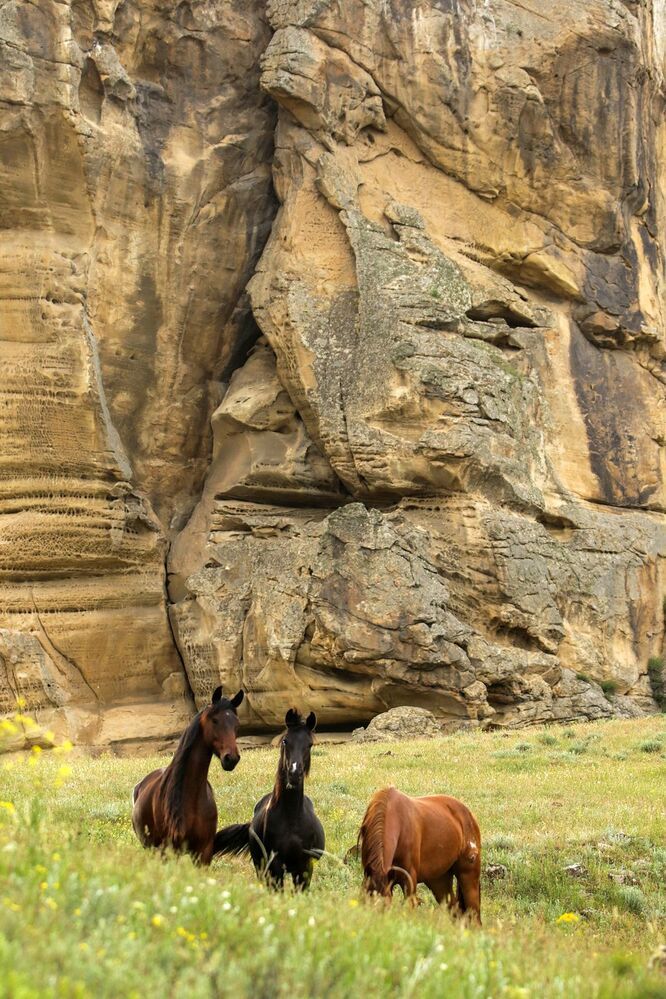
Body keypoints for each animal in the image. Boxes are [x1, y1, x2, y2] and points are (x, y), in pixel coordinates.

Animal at [131, 686, 244, 865]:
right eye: (215, 720)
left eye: (236, 724)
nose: (231, 758)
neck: (191, 798)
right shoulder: (169, 851)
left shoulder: (203, 853)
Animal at [213, 708, 325, 889]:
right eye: (285, 741)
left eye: (310, 744)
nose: (294, 774)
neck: (291, 819)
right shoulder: (274, 866)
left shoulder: (304, 868)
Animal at [358, 786, 481, 923]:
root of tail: (469, 815)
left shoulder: (409, 880)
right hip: (439, 881)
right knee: (455, 910)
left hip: (469, 878)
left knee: (474, 916)